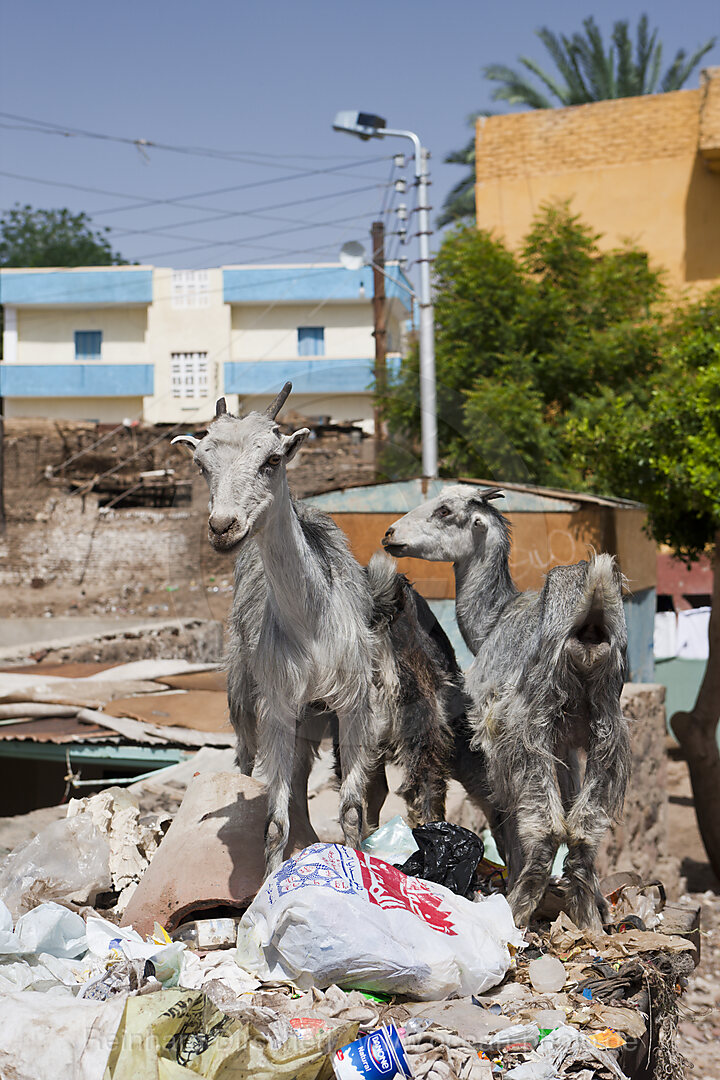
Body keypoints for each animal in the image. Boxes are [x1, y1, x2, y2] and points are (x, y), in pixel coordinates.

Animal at [172, 390, 459, 876]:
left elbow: (353, 809)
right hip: (246, 696)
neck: (312, 624)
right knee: (250, 765)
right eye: (202, 464)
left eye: (272, 459)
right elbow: (274, 819)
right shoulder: (277, 704)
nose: (223, 527)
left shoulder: (355, 705)